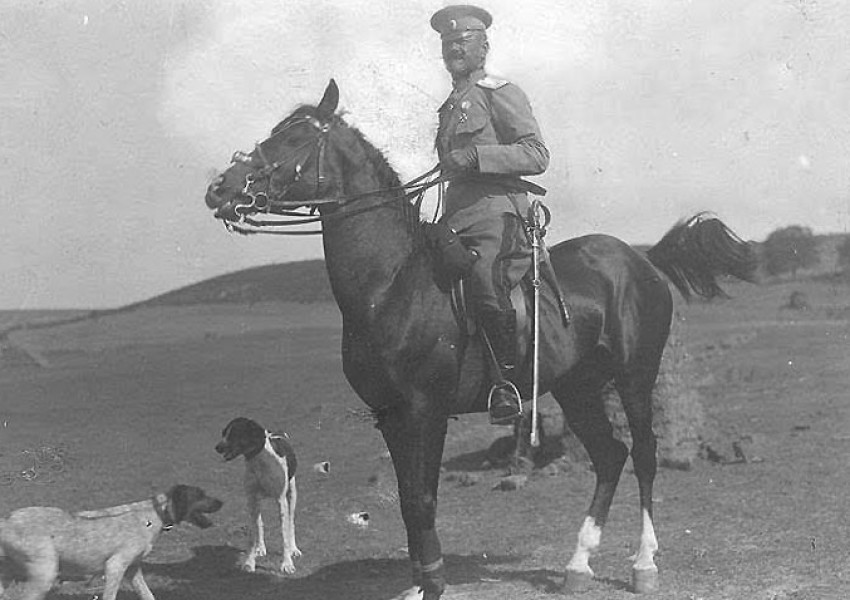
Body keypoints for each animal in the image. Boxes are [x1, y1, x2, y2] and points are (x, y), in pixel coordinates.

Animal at [0, 486, 222, 600]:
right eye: (200, 495)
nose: (222, 502)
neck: (154, 514)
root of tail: (6, 520)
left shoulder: (133, 570)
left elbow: (148, 595)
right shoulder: (115, 566)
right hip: (45, 574)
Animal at [215, 418, 302, 572]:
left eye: (235, 433)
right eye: (224, 432)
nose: (217, 447)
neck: (259, 460)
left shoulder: (281, 501)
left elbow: (284, 534)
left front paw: (287, 563)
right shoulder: (251, 499)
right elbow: (252, 535)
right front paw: (249, 562)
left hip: (292, 494)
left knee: (291, 523)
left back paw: (294, 549)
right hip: (256, 502)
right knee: (259, 524)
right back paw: (260, 548)